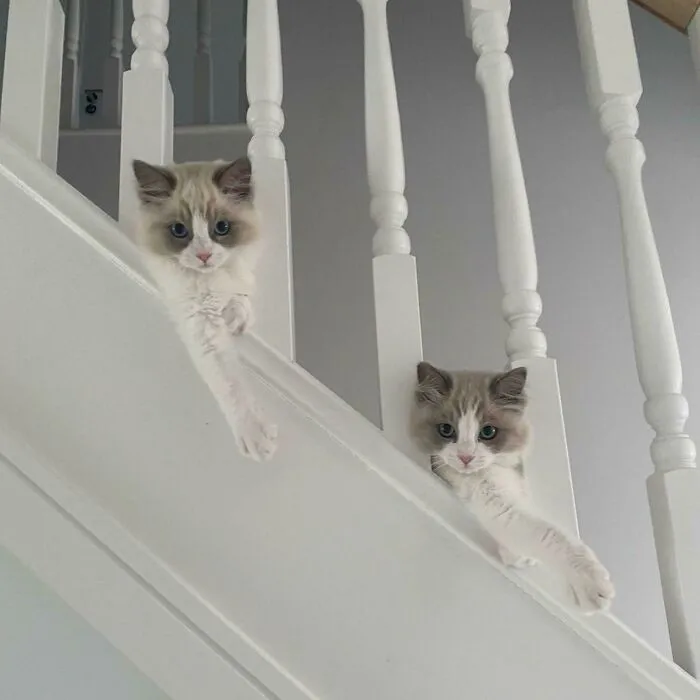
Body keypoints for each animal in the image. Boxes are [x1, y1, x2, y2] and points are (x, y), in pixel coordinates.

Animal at [132, 157, 277, 462]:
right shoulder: (200, 322)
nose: (204, 255)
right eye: (179, 231)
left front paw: (236, 317)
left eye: (221, 227)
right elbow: (230, 385)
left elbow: (241, 295)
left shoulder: (239, 275)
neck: (212, 281)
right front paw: (257, 440)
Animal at [411, 362, 615, 613]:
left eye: (488, 432)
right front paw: (590, 585)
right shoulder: (498, 503)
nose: (465, 457)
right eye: (446, 430)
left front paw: (518, 556)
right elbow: (548, 534)